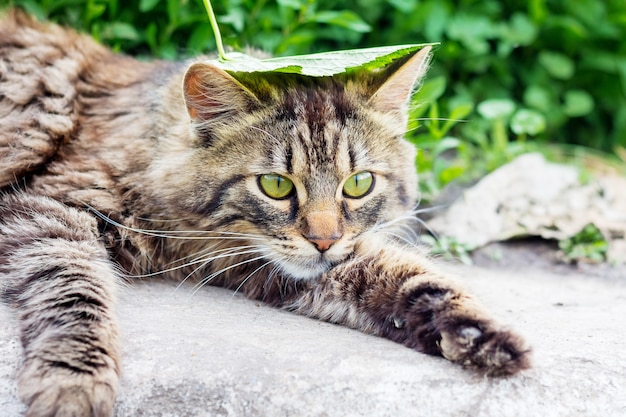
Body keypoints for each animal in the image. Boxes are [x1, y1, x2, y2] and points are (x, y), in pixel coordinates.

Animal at [0, 9, 528, 416]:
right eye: (276, 186)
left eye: (359, 184)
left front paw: (480, 334)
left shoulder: (289, 267)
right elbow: (74, 293)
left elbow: (412, 280)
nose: (323, 241)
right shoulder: (49, 209)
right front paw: (73, 384)